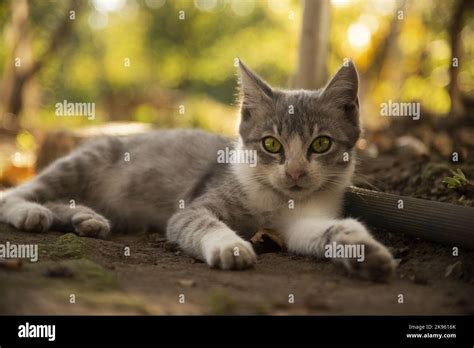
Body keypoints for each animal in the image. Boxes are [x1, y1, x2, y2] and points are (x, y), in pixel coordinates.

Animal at [0, 61, 396, 282]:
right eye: (271, 145)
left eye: (321, 144)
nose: (296, 174)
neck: (278, 200)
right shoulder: (195, 205)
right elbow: (199, 222)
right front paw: (229, 246)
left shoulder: (299, 223)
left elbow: (327, 229)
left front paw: (363, 249)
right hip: (81, 162)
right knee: (14, 195)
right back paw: (32, 212)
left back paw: (85, 217)